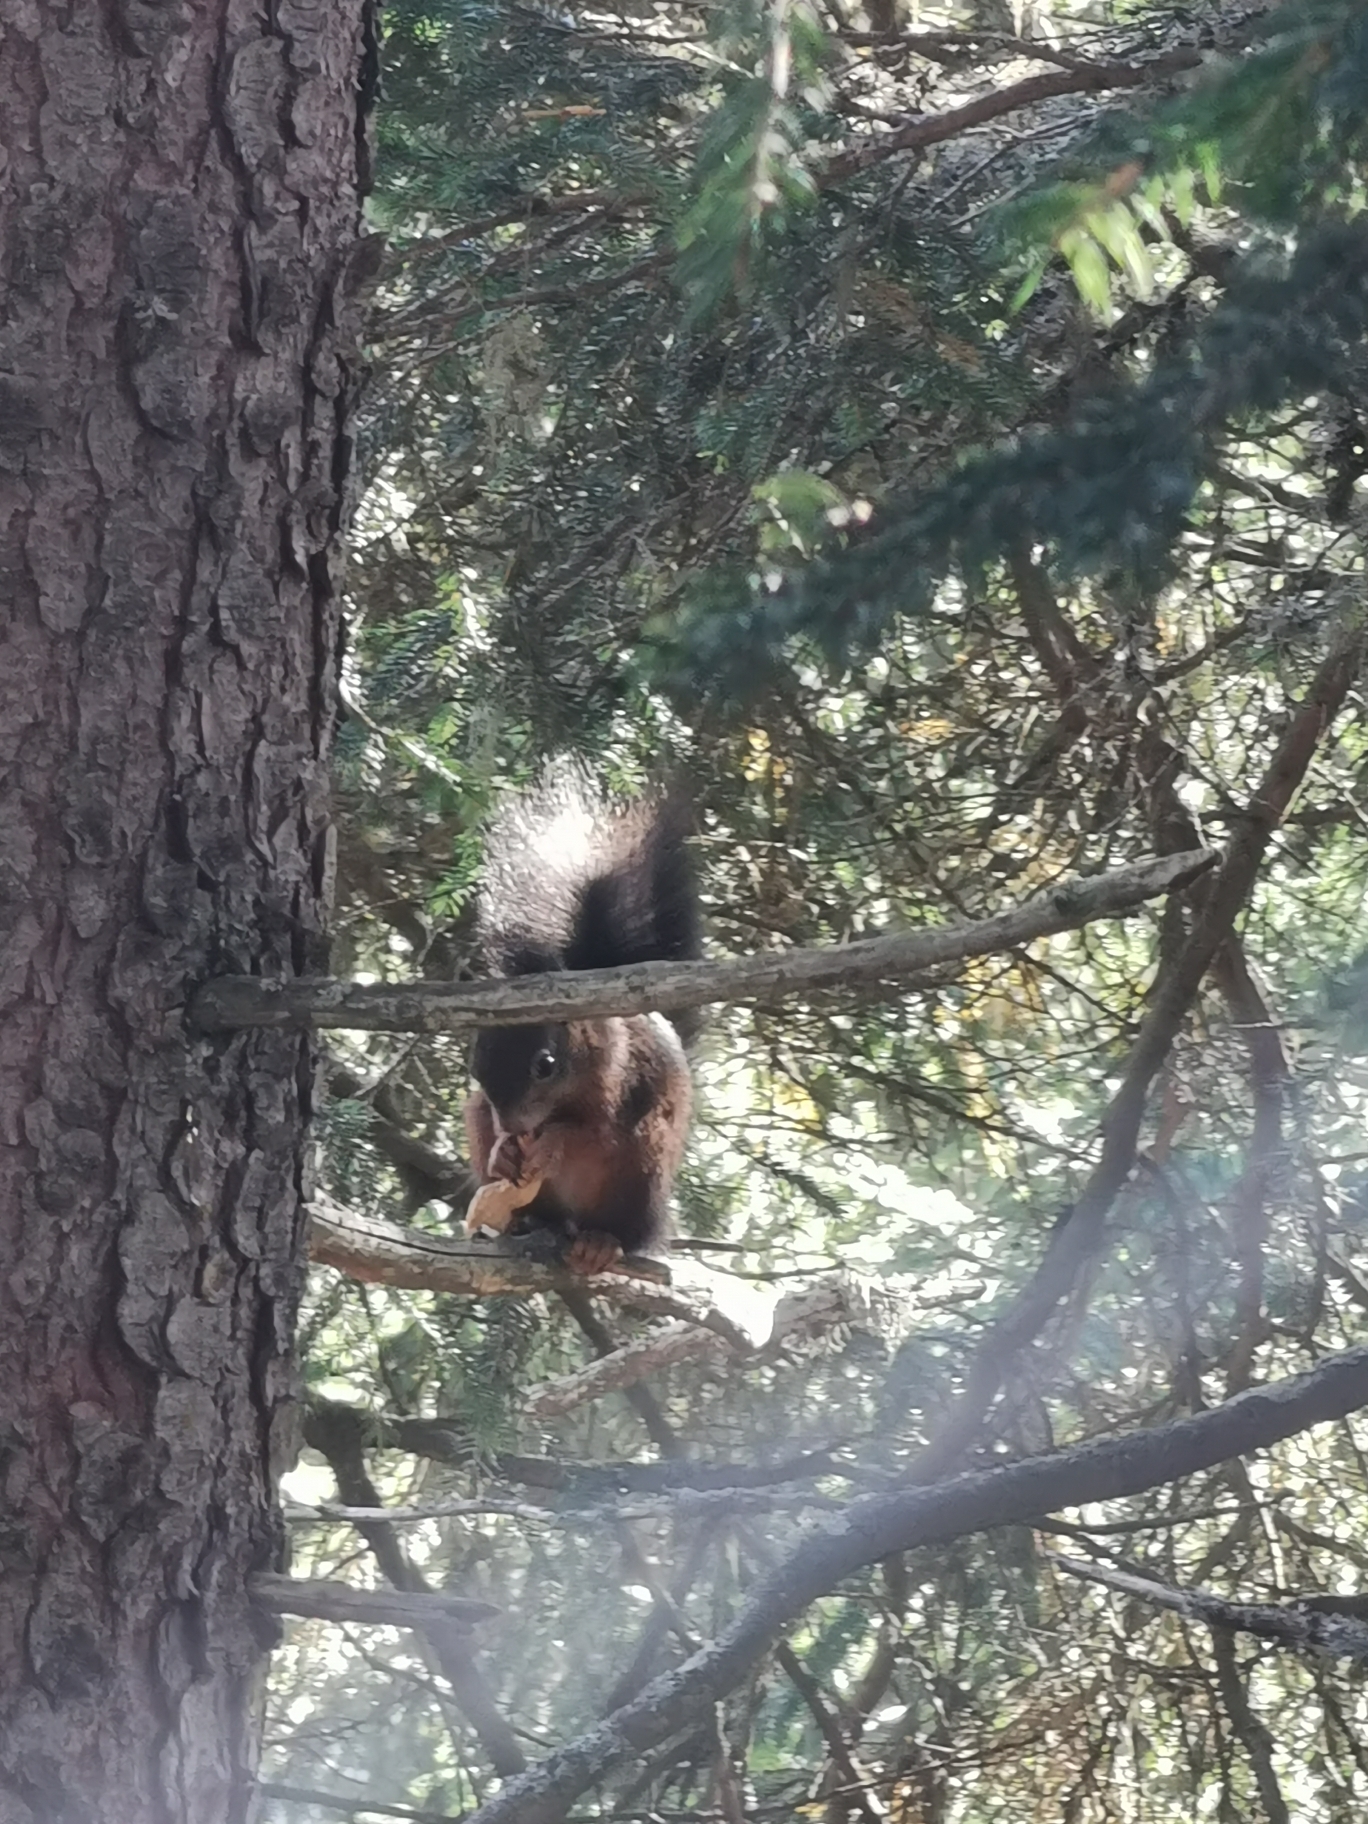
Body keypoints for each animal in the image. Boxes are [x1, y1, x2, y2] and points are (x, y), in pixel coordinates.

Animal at [463, 762, 700, 1276]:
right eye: (475, 1064)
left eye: (546, 1065)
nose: (513, 1126)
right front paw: (503, 1151)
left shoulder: (619, 1076)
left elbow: (588, 1134)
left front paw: (552, 1144)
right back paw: (528, 1221)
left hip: (644, 1165)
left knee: (628, 1230)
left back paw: (602, 1243)